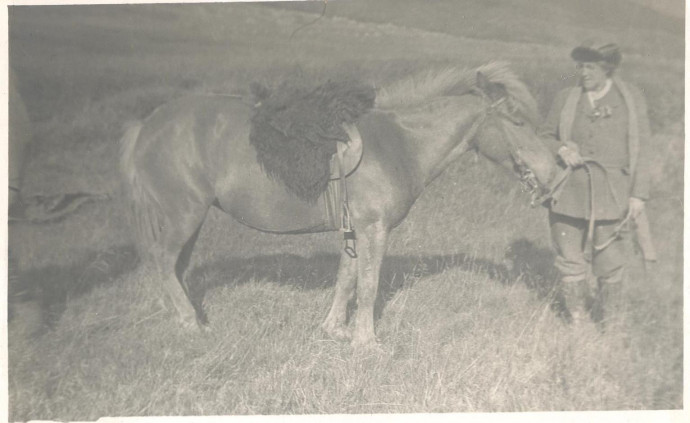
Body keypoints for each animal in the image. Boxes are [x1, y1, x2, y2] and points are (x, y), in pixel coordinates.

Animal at [119, 62, 552, 348]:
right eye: (516, 122)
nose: (552, 172)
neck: (399, 142)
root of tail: (149, 125)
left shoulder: (354, 230)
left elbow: (346, 279)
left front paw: (334, 329)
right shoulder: (373, 229)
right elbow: (368, 285)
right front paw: (366, 342)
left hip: (190, 219)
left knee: (175, 267)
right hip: (183, 215)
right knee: (162, 261)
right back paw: (191, 323)